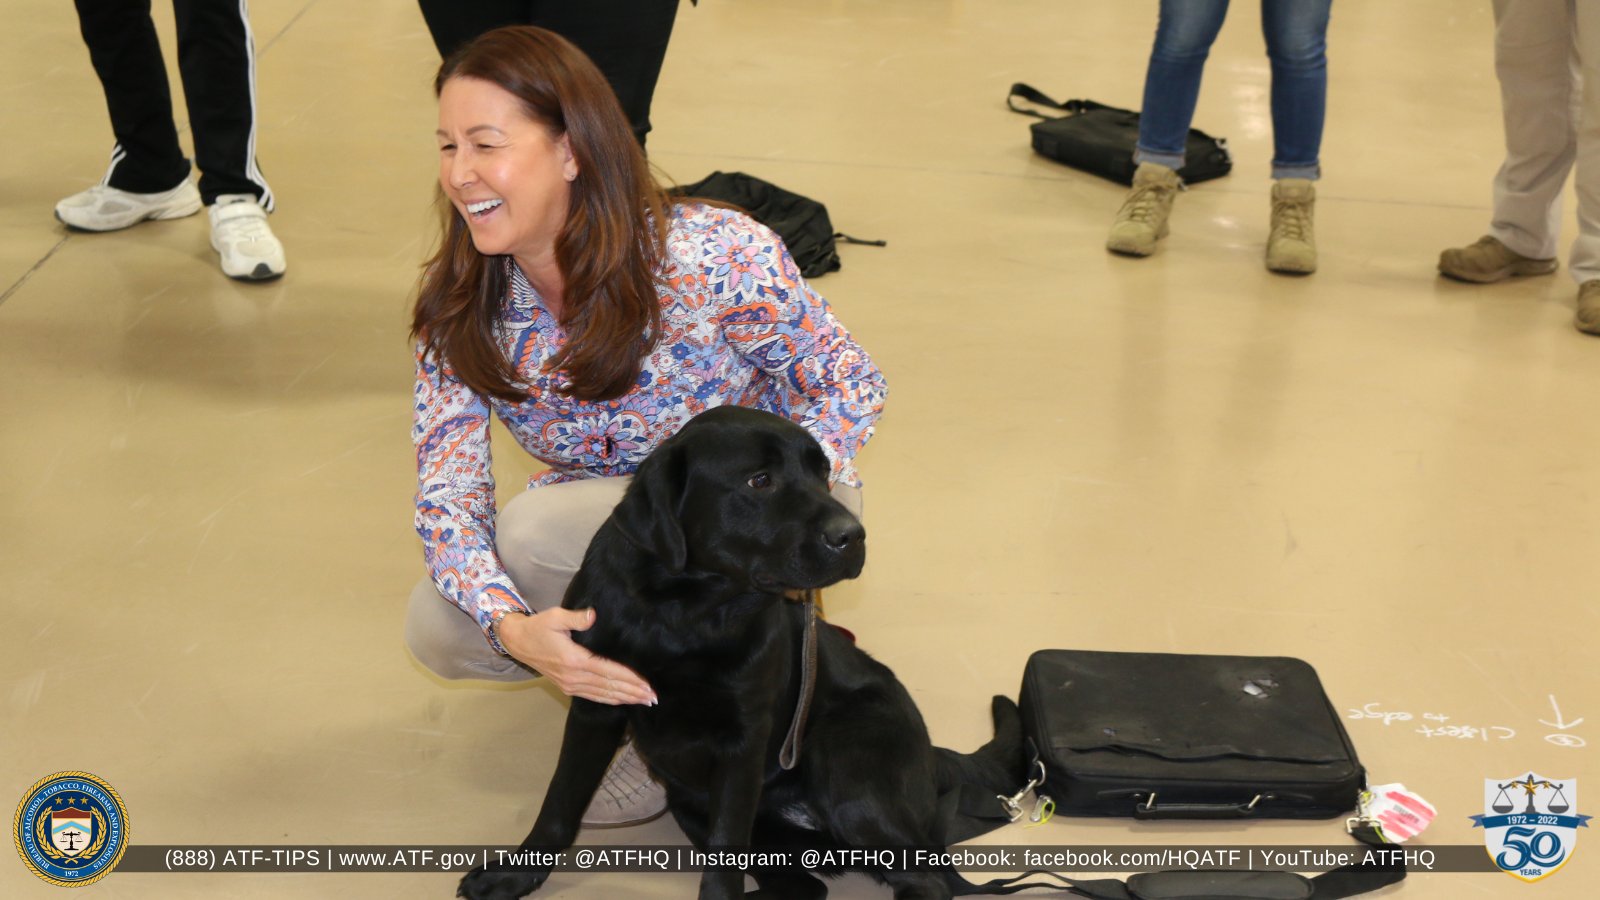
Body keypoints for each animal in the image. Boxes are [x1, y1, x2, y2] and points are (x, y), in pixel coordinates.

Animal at [460, 406, 1024, 896]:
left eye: (822, 473)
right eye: (760, 481)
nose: (855, 536)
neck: (684, 611)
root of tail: (932, 756)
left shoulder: (742, 740)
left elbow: (724, 857)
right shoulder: (596, 705)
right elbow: (559, 802)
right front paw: (513, 876)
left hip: (847, 767)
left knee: (929, 880)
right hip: (696, 806)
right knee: (806, 887)